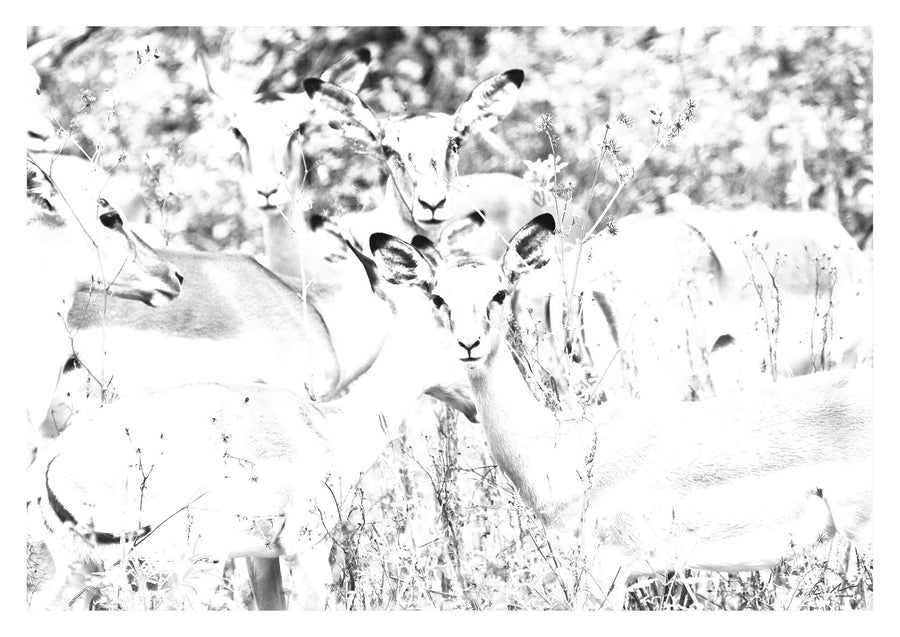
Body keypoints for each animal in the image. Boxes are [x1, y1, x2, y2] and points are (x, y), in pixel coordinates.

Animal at [26, 256, 477, 611]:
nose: (477, 406)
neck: (327, 426)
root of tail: (55, 464)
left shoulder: (263, 558)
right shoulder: (307, 554)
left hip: (75, 578)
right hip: (179, 577)